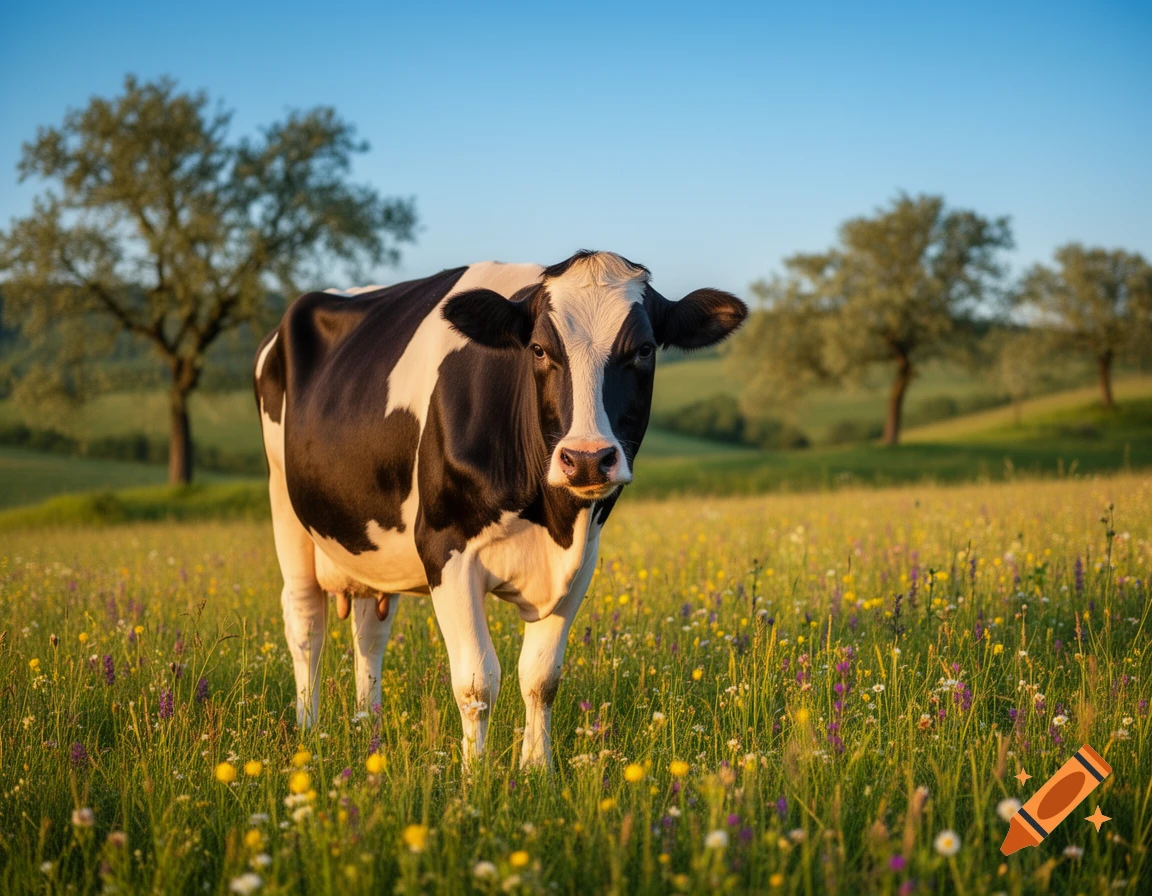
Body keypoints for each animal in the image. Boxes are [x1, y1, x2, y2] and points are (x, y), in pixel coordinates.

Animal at [254, 250, 746, 768]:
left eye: (646, 349)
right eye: (539, 349)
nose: (587, 458)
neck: (550, 520)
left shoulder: (582, 559)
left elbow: (541, 677)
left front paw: (537, 769)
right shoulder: (445, 548)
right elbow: (476, 682)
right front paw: (476, 775)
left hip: (369, 543)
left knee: (369, 631)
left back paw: (368, 728)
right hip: (284, 503)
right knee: (305, 622)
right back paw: (309, 732)